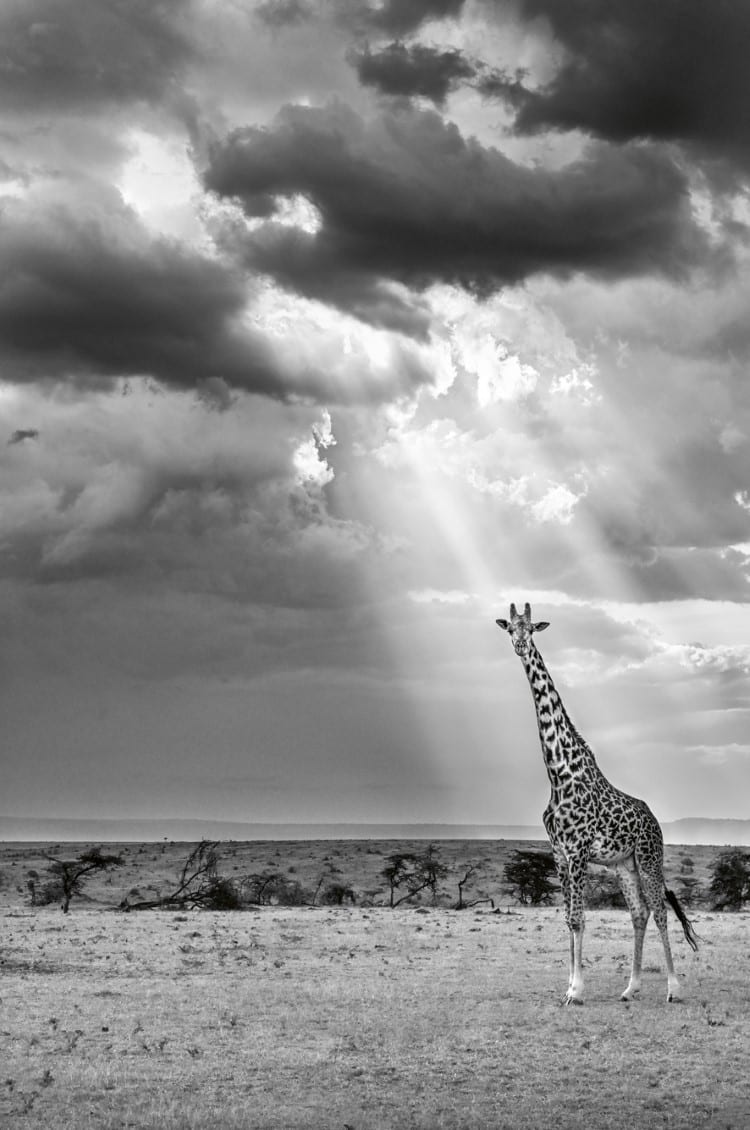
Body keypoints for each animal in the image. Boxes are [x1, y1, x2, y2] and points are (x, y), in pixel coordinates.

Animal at [496, 601, 695, 1007]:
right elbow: (569, 918)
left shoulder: (577, 852)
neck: (558, 772)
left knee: (660, 911)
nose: (520, 646)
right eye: (509, 628)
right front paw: (570, 986)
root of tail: (655, 820)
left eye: (531, 629)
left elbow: (579, 918)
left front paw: (576, 990)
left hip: (649, 858)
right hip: (624, 865)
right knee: (639, 913)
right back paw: (630, 987)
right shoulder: (558, 854)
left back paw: (672, 988)